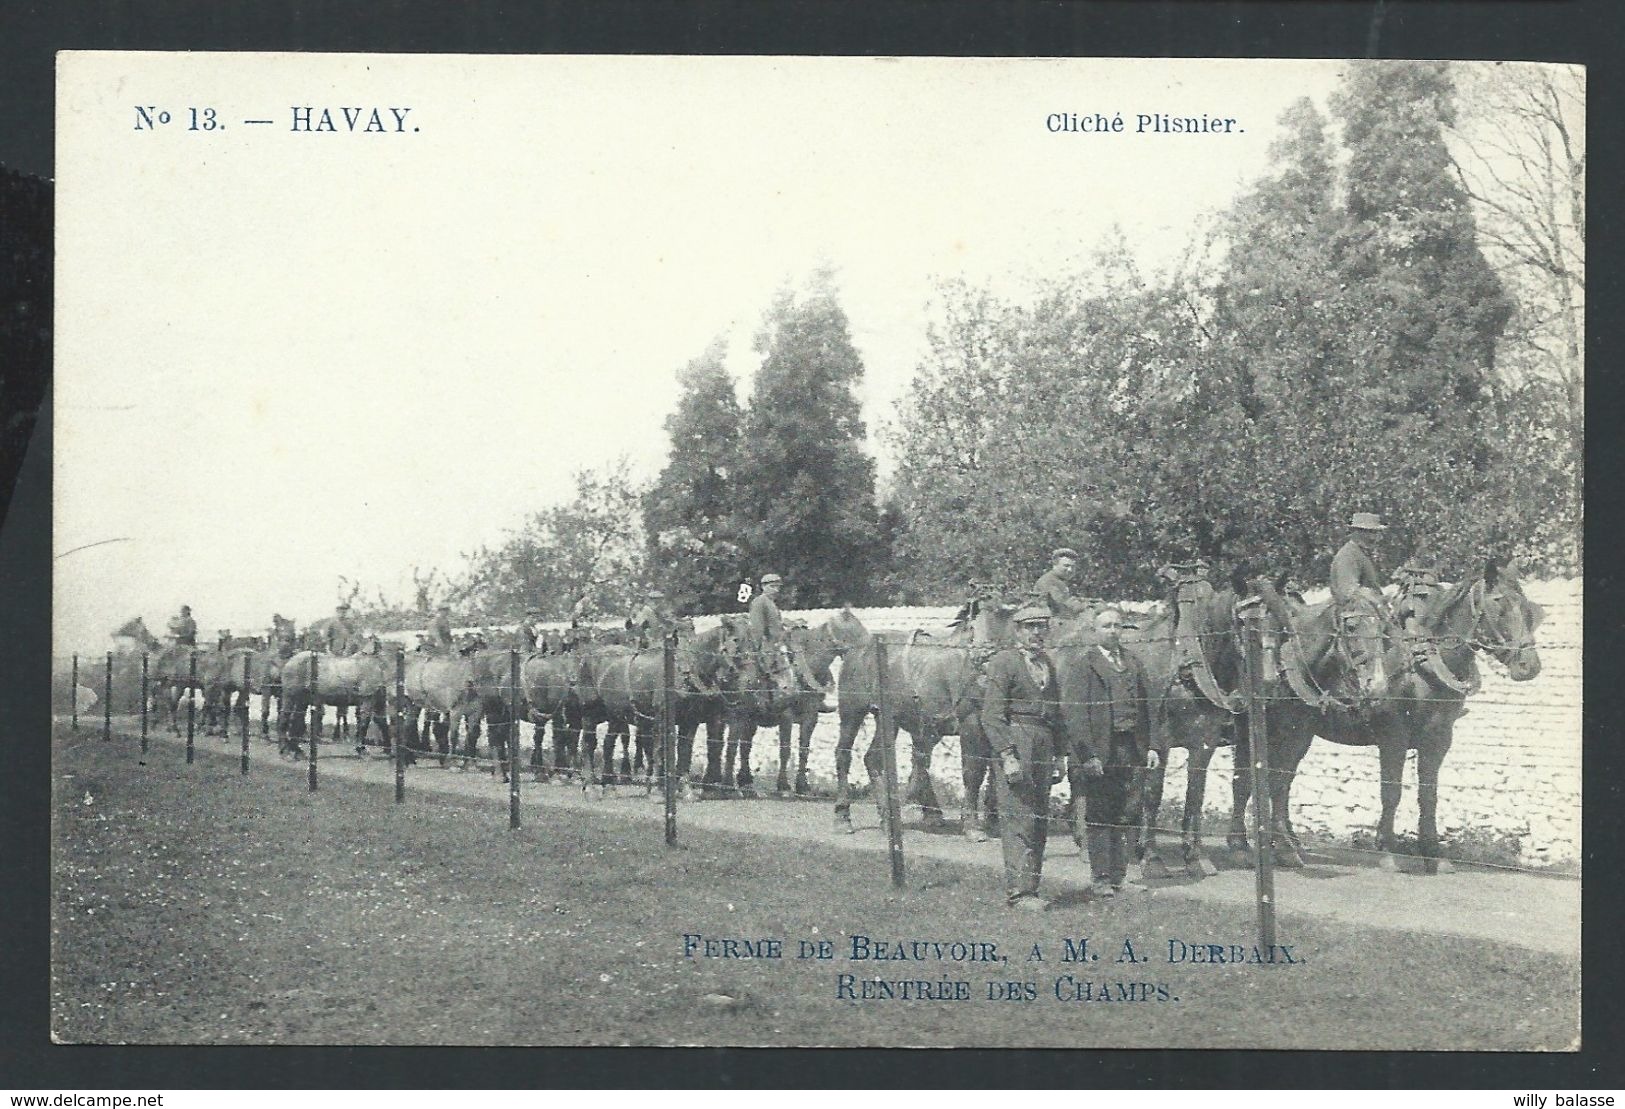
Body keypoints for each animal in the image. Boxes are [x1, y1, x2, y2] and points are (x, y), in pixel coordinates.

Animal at [711, 608, 864, 800]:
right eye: (855, 628)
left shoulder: (810, 716)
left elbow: (804, 749)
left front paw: (802, 786)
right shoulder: (786, 716)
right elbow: (785, 750)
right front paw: (784, 786)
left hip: (746, 719)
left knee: (741, 746)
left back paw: (742, 784)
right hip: (734, 714)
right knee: (728, 745)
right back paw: (725, 784)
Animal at [832, 595, 1007, 839]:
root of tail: (857, 647)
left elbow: (995, 771)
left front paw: (993, 821)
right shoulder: (971, 722)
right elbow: (974, 770)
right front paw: (973, 826)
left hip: (891, 719)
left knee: (878, 759)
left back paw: (892, 818)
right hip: (852, 713)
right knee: (844, 754)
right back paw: (844, 816)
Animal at [1261, 556, 1540, 865]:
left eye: (1528, 609)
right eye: (1499, 606)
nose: (1529, 666)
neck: (1422, 665)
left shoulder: (1439, 738)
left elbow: (1429, 794)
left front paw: (1432, 852)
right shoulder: (1393, 736)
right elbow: (1391, 791)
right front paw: (1387, 850)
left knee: (1282, 780)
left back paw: (1291, 844)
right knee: (1274, 779)